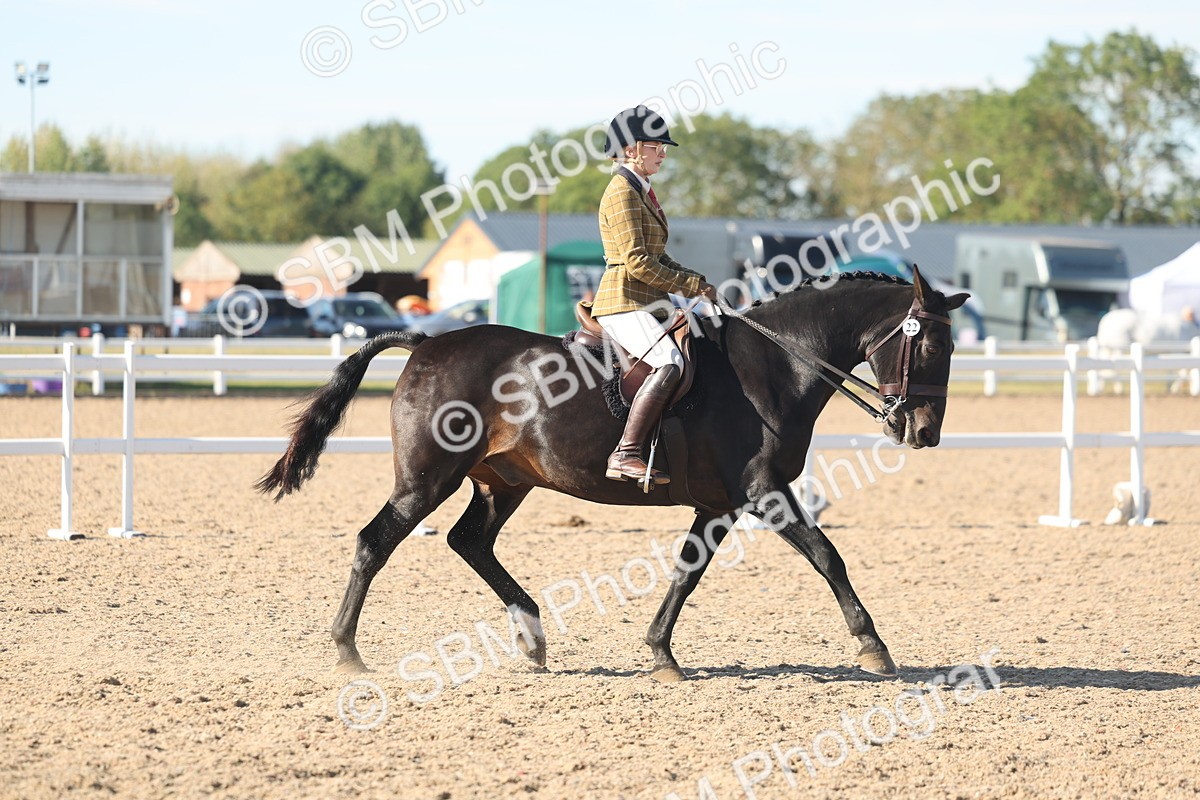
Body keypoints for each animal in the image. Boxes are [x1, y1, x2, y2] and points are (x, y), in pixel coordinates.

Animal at [257, 267, 968, 682]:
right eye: (932, 343)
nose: (924, 432)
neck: (776, 364)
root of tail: (428, 342)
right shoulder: (764, 492)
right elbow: (828, 556)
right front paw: (873, 646)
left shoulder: (719, 504)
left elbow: (687, 572)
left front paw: (660, 653)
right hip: (427, 480)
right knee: (374, 543)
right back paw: (348, 653)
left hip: (503, 482)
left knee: (470, 542)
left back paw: (531, 635)